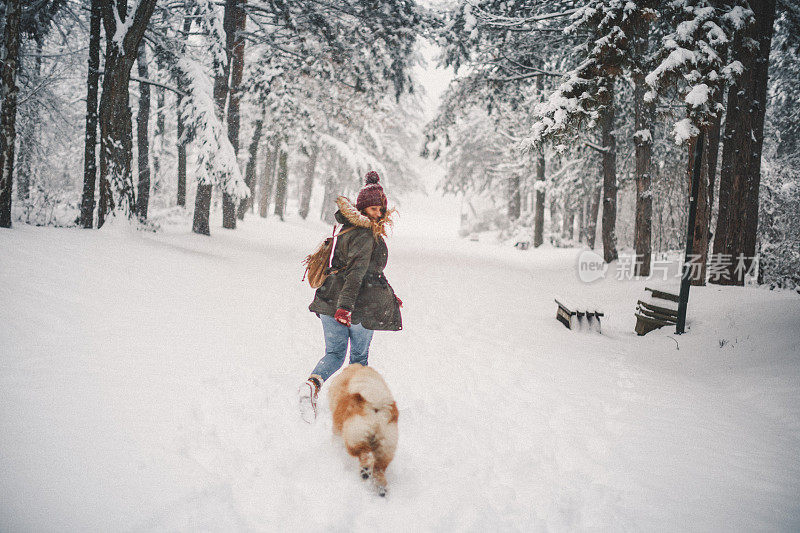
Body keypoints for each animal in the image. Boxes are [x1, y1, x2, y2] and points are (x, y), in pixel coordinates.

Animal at [326, 362, 398, 494]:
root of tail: (376, 407)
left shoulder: (338, 431)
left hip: (354, 437)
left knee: (365, 454)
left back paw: (365, 471)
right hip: (386, 446)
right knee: (379, 469)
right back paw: (381, 489)